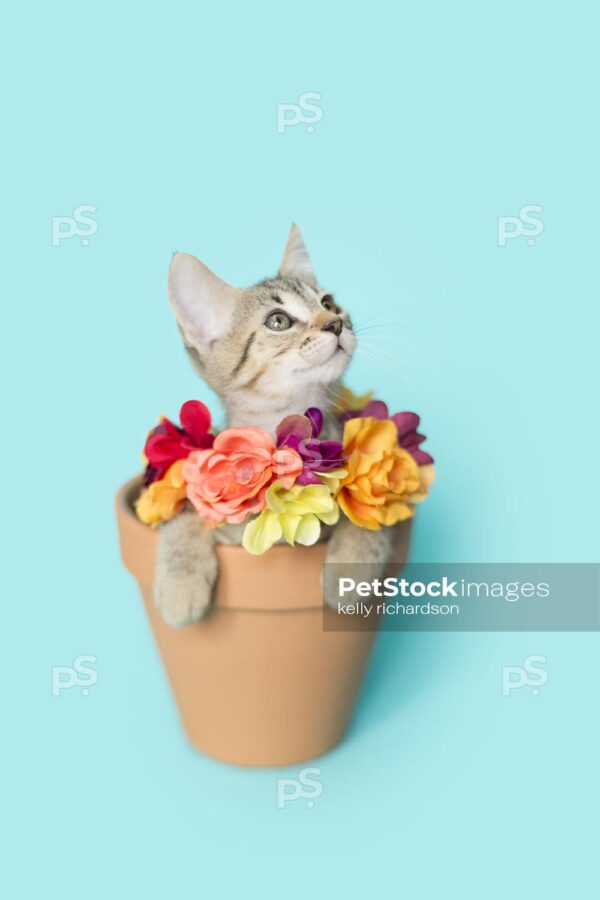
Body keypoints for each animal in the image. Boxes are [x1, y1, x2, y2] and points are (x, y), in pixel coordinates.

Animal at [155, 225, 394, 624]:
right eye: (278, 321)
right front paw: (179, 587)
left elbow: (368, 518)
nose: (336, 323)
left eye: (328, 303)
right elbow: (183, 517)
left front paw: (349, 575)